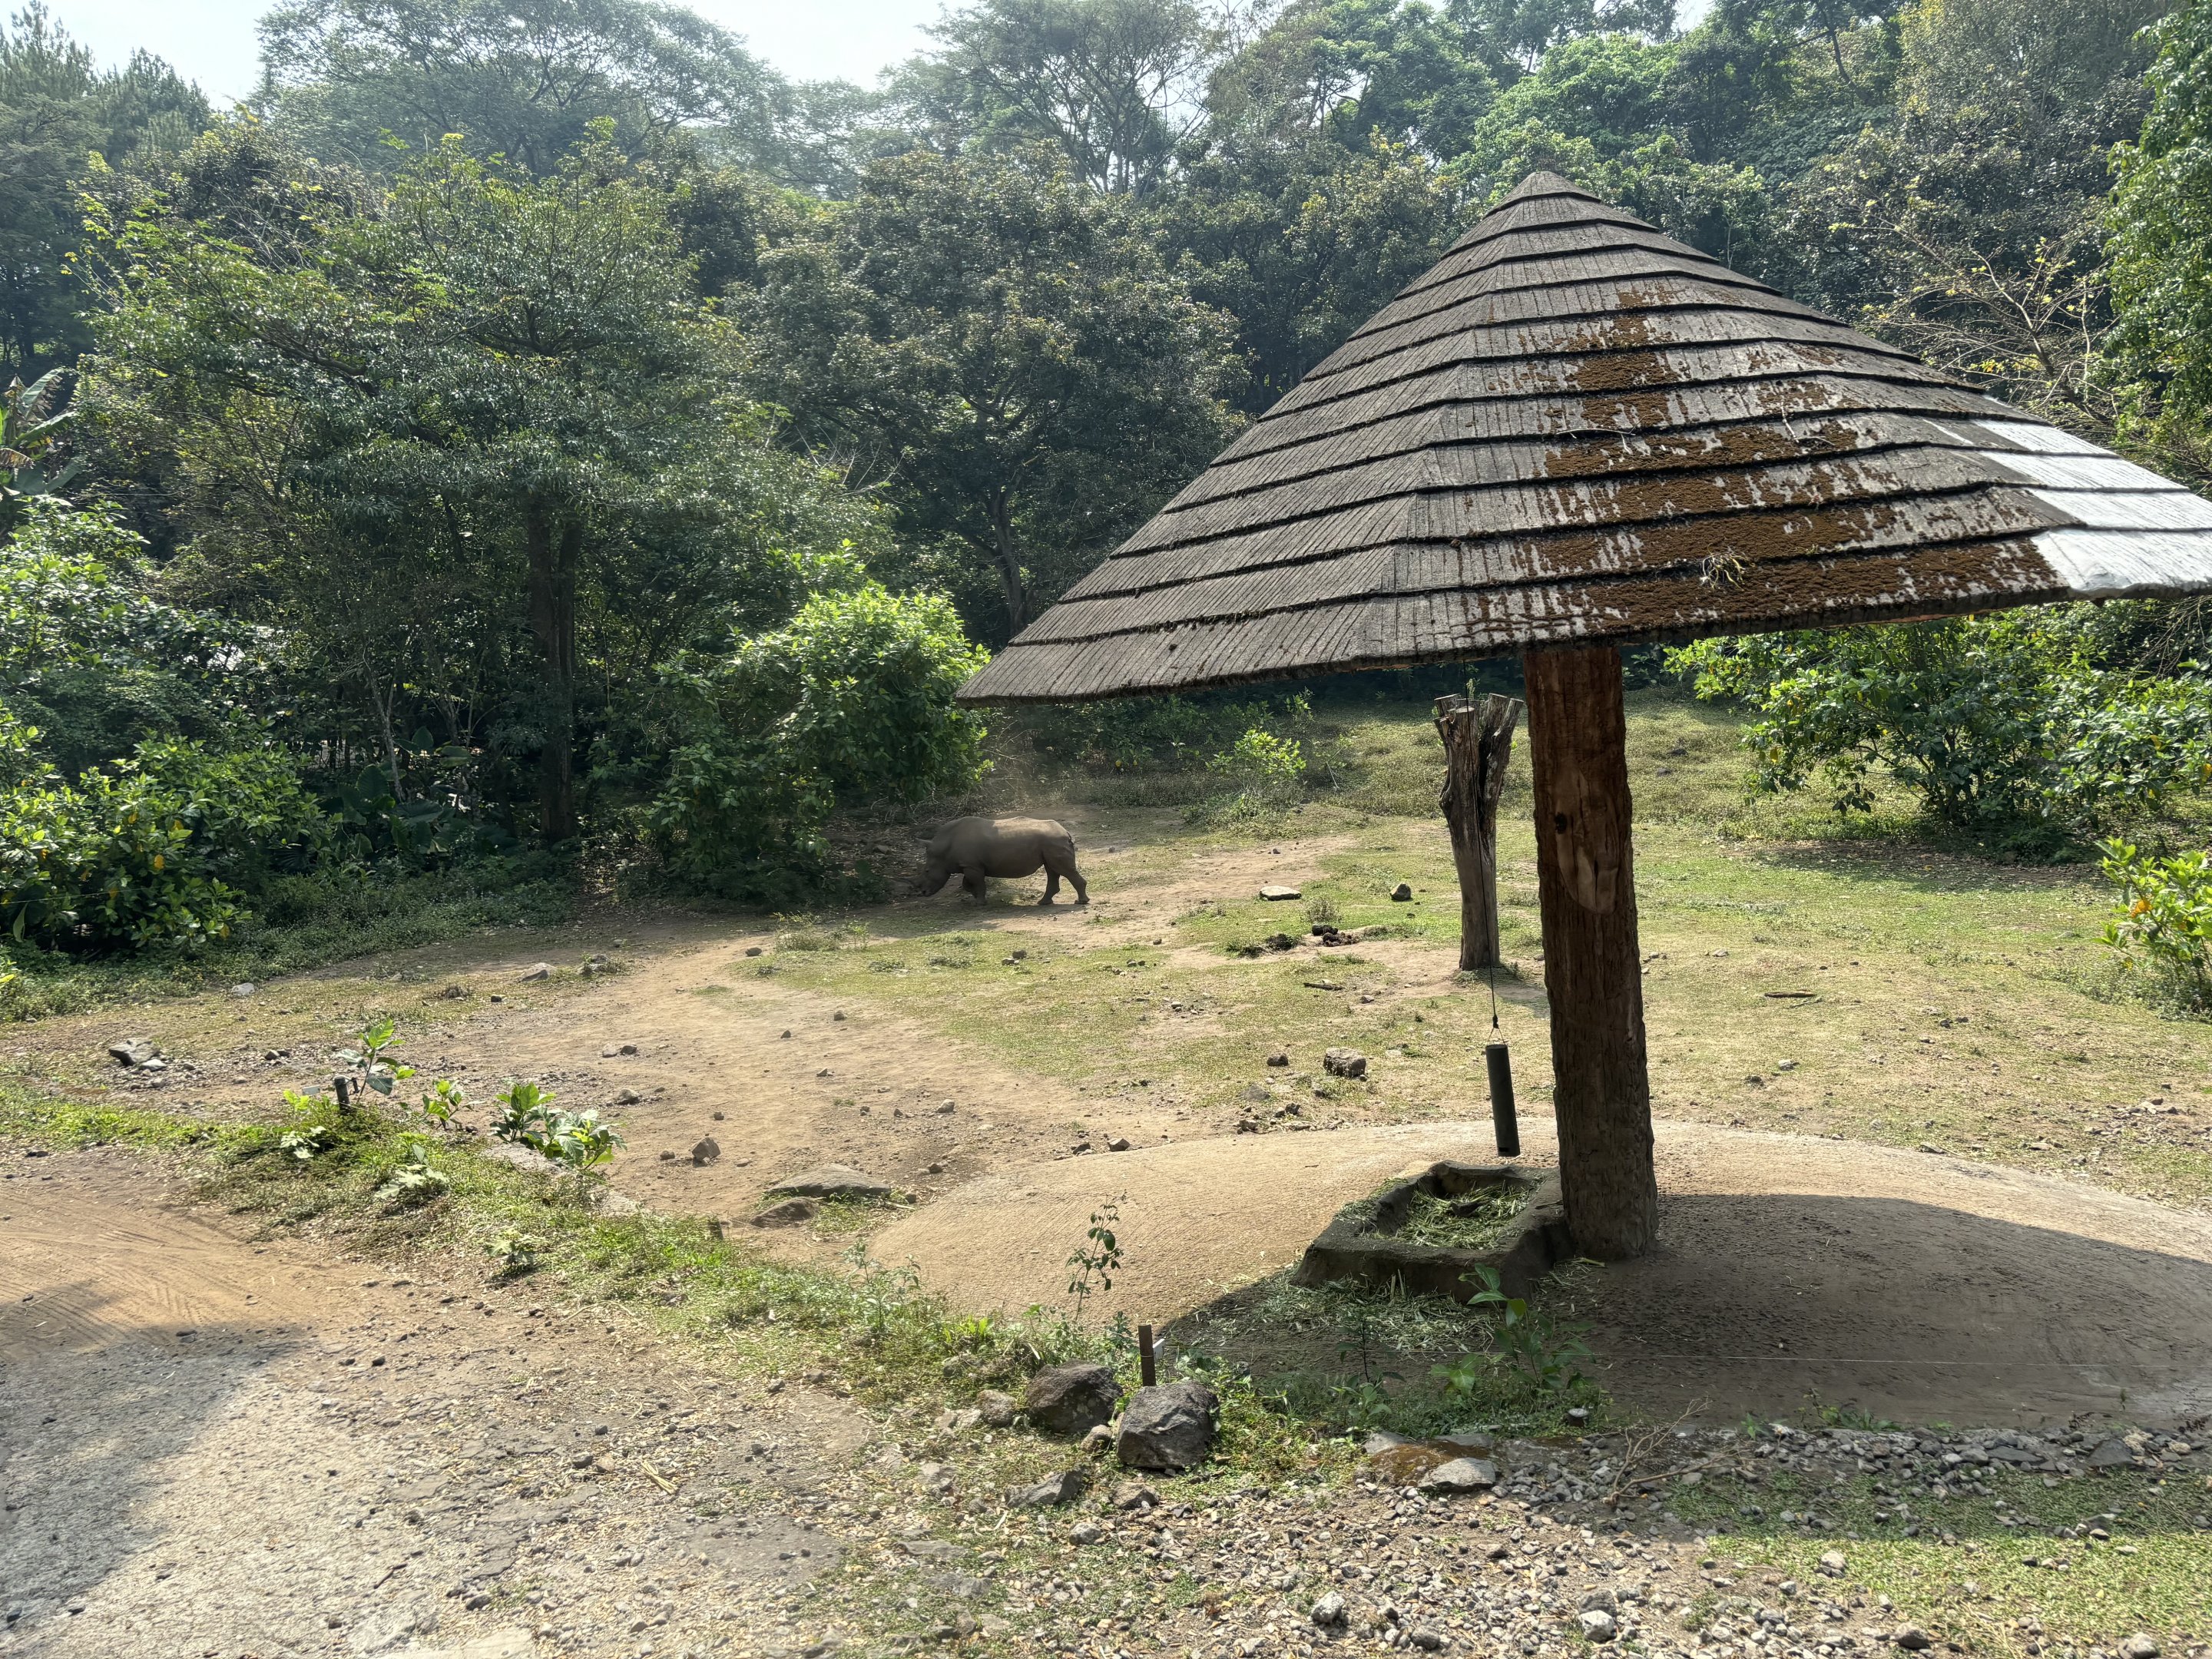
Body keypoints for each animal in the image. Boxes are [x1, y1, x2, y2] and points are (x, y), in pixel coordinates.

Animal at [921, 816, 1088, 906]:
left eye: (927, 871)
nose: (923, 892)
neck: (943, 848)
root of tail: (1066, 832)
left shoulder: (971, 866)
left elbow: (977, 883)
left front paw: (979, 903)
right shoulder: (971, 865)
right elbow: (968, 884)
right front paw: (976, 897)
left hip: (1054, 842)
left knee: (1062, 870)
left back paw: (1081, 902)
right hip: (1051, 844)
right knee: (1052, 870)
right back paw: (1043, 903)